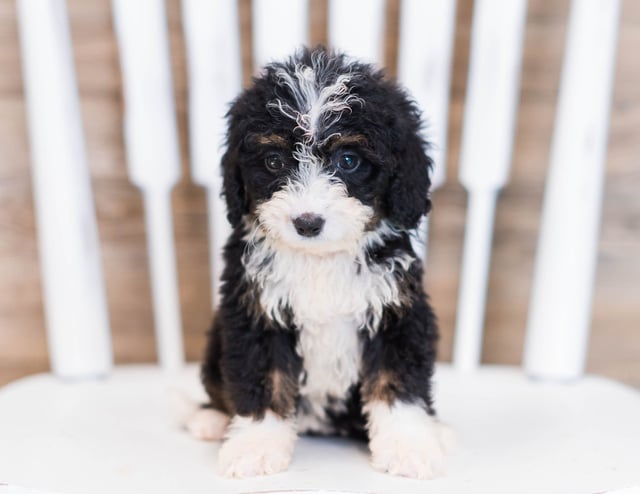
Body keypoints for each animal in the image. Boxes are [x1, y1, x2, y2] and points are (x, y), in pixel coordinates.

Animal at [190, 45, 448, 478]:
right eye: (274, 162)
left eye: (348, 160)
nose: (307, 223)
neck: (320, 260)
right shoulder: (255, 312)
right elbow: (263, 378)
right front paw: (256, 446)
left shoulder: (397, 311)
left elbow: (397, 381)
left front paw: (408, 446)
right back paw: (210, 419)